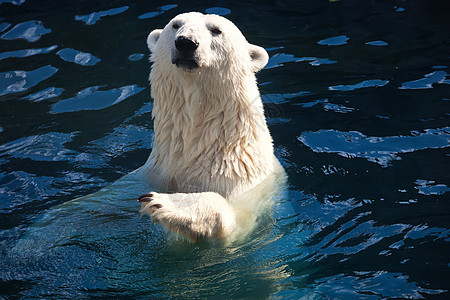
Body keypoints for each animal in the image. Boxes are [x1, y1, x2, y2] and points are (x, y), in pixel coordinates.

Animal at [137, 12, 284, 241]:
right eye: (176, 25)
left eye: (216, 30)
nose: (186, 42)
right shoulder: (153, 174)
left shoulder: (245, 187)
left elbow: (238, 220)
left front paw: (168, 203)